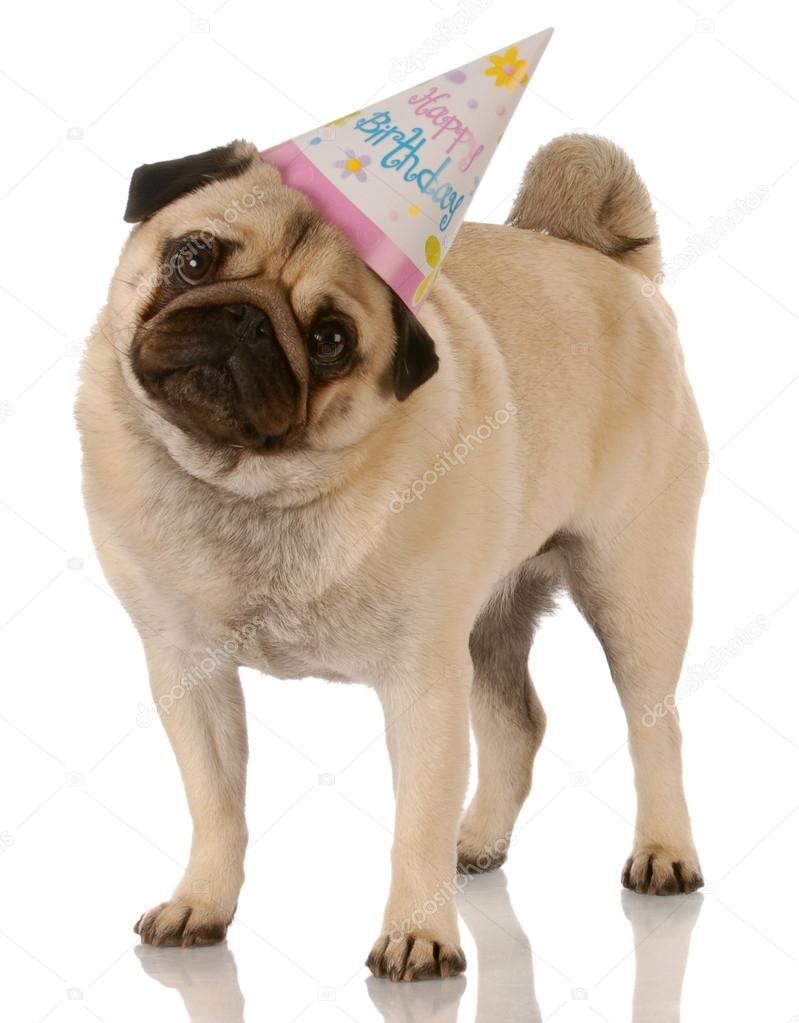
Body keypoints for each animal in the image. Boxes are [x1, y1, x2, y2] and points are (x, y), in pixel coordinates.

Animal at [77, 131, 703, 977]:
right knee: (517, 722)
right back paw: (478, 841)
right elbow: (216, 804)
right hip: (488, 617)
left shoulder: (422, 681)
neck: (252, 490)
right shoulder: (188, 669)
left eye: (330, 341)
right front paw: (201, 901)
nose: (245, 318)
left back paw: (664, 852)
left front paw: (418, 933)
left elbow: (415, 822)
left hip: (633, 585)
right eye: (194, 258)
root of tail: (609, 265)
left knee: (653, 728)